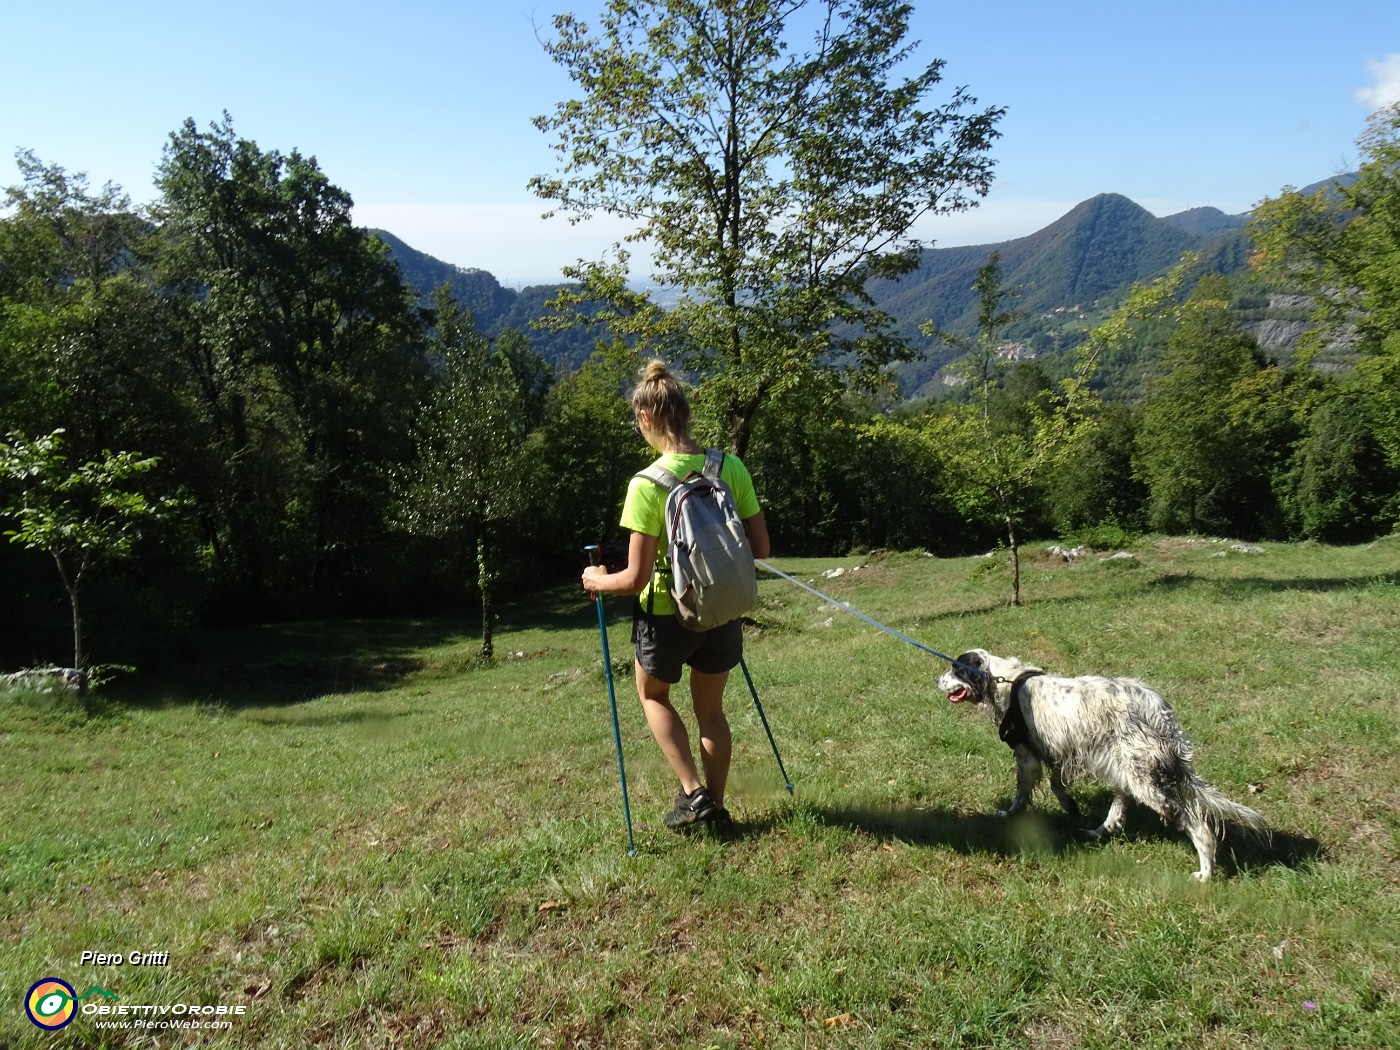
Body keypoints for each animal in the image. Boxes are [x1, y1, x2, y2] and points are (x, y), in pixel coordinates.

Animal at [940, 649, 1271, 879]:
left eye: (955, 669)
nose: (936, 679)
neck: (1003, 680)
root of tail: (1160, 712)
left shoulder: (1028, 757)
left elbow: (1023, 792)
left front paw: (1009, 814)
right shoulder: (1056, 753)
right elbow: (1057, 784)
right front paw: (1072, 808)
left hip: (1141, 775)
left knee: (1196, 825)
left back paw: (1205, 872)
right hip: (1125, 765)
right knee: (1122, 799)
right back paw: (1101, 829)